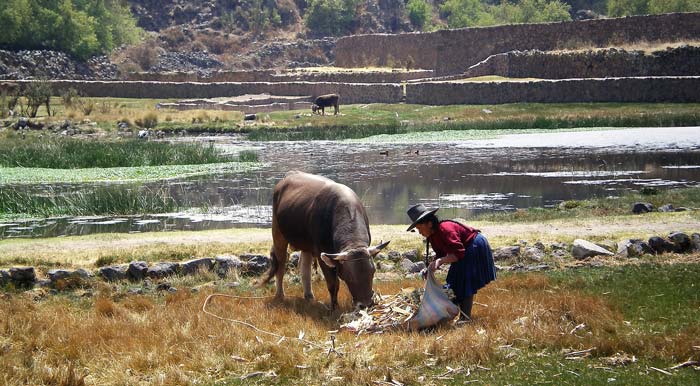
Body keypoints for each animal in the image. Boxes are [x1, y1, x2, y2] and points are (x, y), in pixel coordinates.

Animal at [266, 172, 392, 310]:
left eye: (372, 272)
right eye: (349, 276)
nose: (366, 304)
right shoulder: (322, 256)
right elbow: (333, 284)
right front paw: (334, 307)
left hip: (307, 245)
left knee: (304, 267)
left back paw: (309, 296)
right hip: (278, 233)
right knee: (281, 264)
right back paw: (280, 295)